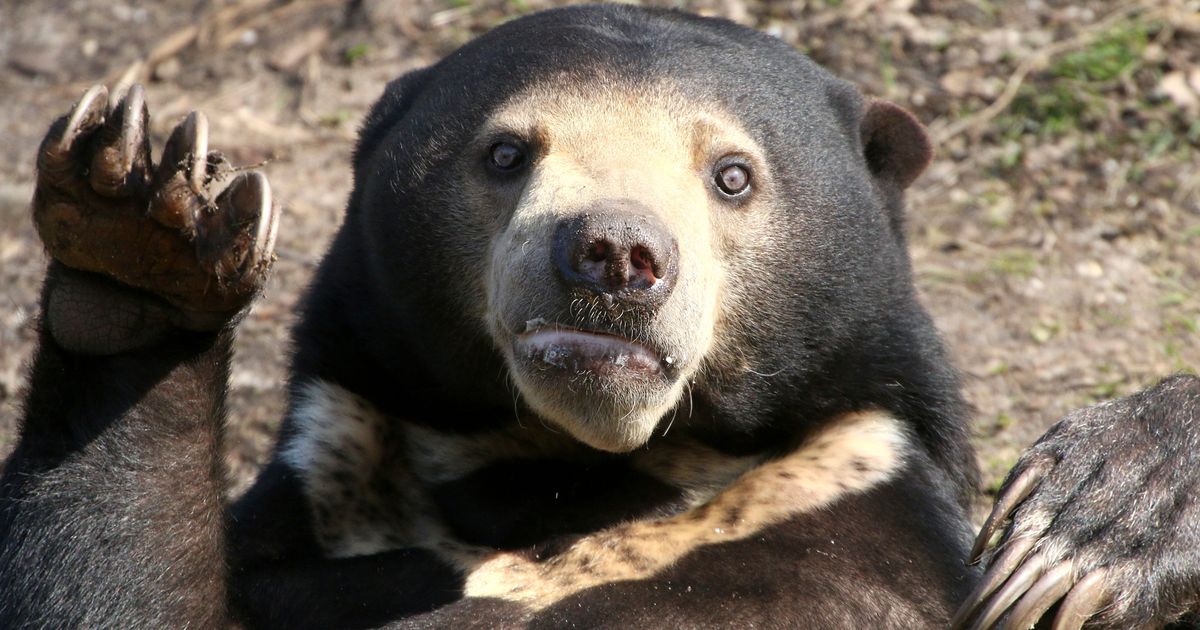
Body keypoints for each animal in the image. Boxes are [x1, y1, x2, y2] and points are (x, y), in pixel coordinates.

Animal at [2, 4, 1200, 628]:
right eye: (505, 153)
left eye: (732, 175)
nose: (615, 256)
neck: (566, 477)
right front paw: (140, 223)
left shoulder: (858, 505)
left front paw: (1102, 513)